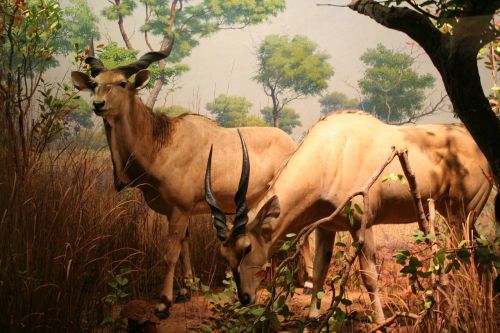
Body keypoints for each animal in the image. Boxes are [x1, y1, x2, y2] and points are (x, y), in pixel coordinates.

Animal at [70, 45, 296, 318]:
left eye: (122, 83)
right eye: (95, 84)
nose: (98, 104)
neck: (161, 143)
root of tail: (293, 143)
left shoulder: (179, 209)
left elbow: (170, 253)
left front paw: (163, 302)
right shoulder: (181, 211)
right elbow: (184, 245)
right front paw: (186, 290)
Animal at [205, 111, 494, 322]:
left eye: (247, 247)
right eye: (224, 254)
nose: (245, 297)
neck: (333, 152)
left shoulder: (362, 225)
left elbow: (369, 276)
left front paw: (380, 320)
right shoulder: (326, 227)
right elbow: (320, 272)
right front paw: (312, 317)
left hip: (461, 215)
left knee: (466, 257)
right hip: (457, 214)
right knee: (483, 256)